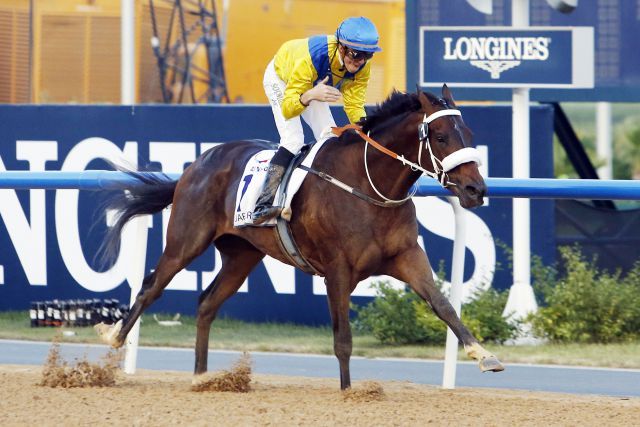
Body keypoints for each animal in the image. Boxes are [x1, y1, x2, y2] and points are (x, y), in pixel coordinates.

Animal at [96, 85, 504, 390]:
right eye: (441, 136)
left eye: (469, 135)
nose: (476, 189)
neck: (367, 184)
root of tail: (194, 165)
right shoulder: (337, 271)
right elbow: (343, 339)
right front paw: (349, 392)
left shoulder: (406, 256)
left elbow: (443, 305)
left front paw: (485, 356)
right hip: (186, 240)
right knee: (151, 287)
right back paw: (114, 338)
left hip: (242, 255)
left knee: (207, 303)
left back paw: (202, 378)